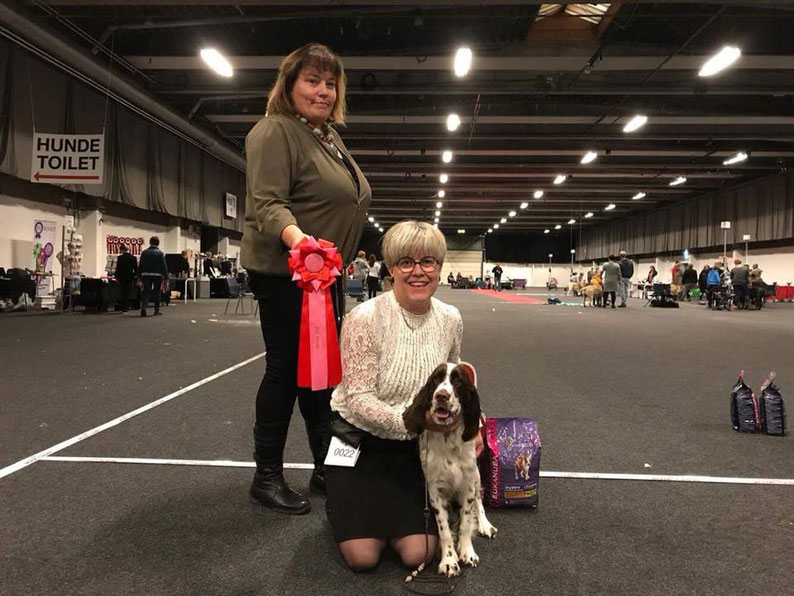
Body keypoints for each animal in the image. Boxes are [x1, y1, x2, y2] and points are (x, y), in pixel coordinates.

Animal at [402, 360, 496, 576]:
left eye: (458, 381)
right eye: (436, 380)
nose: (441, 396)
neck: (448, 439)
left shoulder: (468, 485)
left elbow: (466, 522)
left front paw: (467, 552)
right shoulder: (434, 490)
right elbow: (444, 529)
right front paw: (449, 560)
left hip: (477, 475)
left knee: (479, 502)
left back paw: (485, 525)